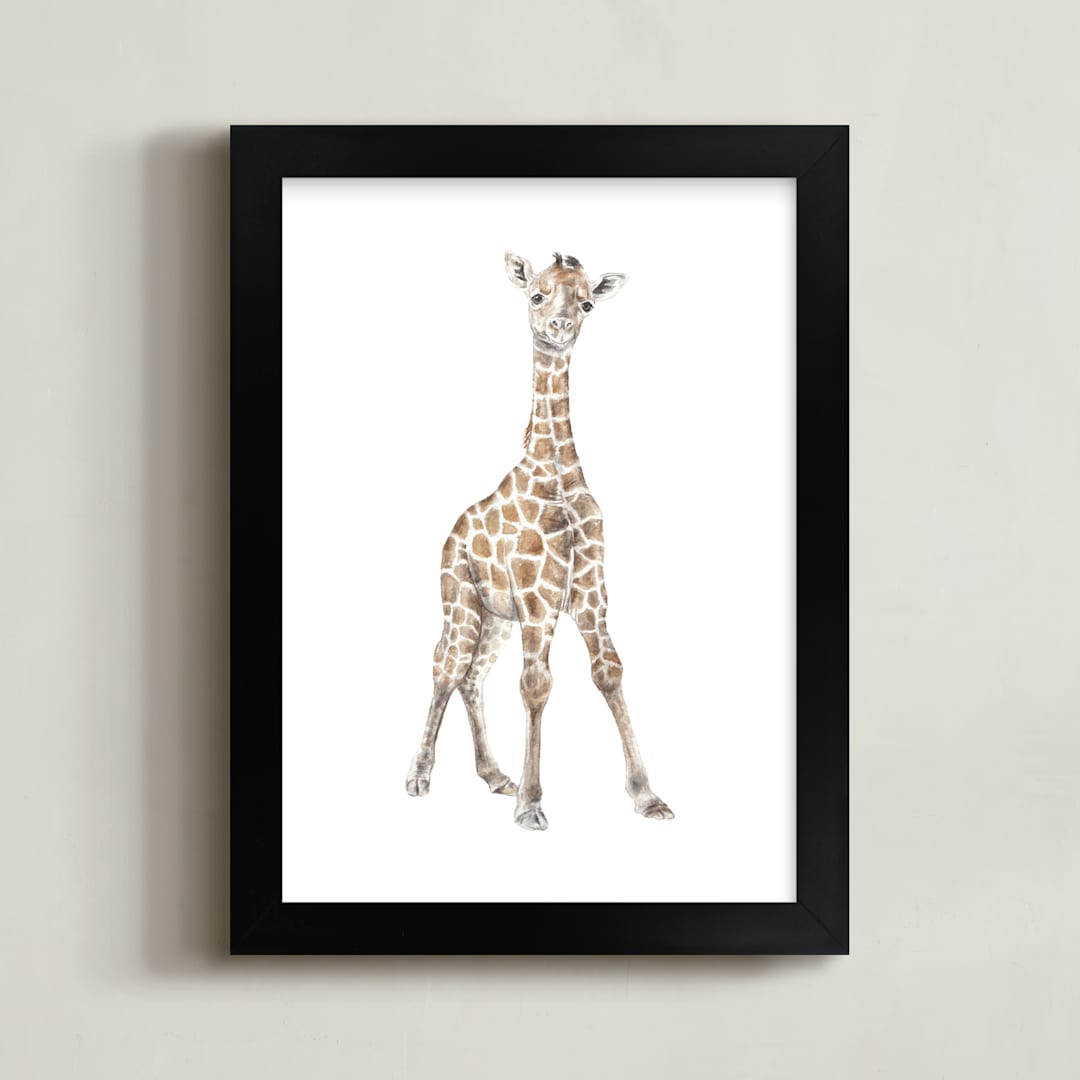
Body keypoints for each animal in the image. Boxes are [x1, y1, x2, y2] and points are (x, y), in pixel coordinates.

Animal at [405, 251, 674, 831]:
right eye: (536, 294)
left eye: (587, 303)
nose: (561, 326)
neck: (557, 480)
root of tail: (450, 534)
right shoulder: (538, 597)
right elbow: (536, 684)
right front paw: (532, 805)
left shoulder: (590, 593)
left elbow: (609, 671)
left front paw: (646, 796)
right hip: (461, 601)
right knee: (445, 665)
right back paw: (418, 777)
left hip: (495, 620)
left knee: (472, 675)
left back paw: (494, 775)